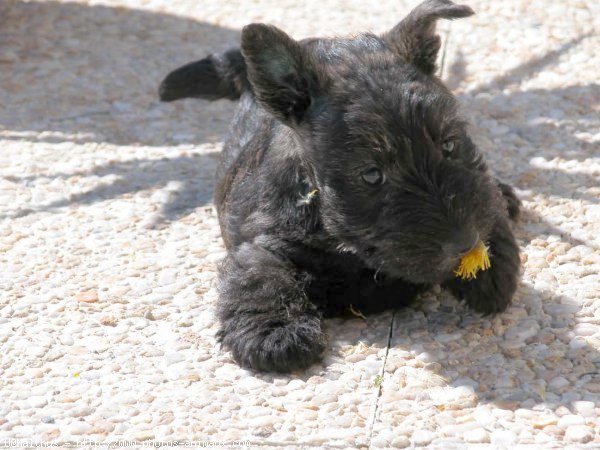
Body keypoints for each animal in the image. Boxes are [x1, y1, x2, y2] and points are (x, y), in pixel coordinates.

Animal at [159, 0, 520, 372]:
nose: (465, 245)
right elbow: (261, 277)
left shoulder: (479, 196)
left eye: (449, 145)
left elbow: (490, 208)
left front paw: (491, 273)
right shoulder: (261, 240)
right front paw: (275, 333)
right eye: (371, 175)